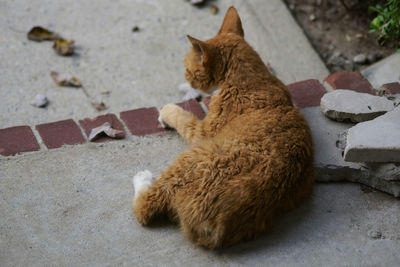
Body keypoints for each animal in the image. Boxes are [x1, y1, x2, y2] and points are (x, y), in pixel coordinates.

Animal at [133, 6, 314, 249]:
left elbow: (182, 117)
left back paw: (142, 180)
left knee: (144, 208)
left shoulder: (202, 133)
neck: (250, 76)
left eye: (187, 69)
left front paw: (167, 110)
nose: (186, 78)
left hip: (191, 157)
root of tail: (219, 225)